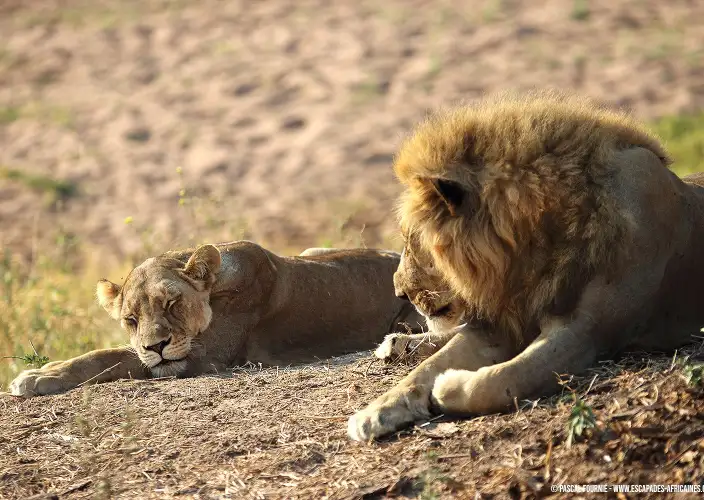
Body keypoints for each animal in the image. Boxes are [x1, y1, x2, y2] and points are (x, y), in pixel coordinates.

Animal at [9, 241, 425, 397]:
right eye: (130, 319)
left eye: (172, 304)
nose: (156, 345)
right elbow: (111, 352)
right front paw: (44, 370)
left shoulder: (199, 358)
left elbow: (110, 357)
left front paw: (37, 377)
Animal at [348, 91, 704, 441]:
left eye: (411, 241)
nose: (399, 293)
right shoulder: (501, 324)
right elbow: (427, 369)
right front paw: (374, 412)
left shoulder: (587, 331)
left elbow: (502, 380)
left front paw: (447, 385)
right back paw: (398, 344)